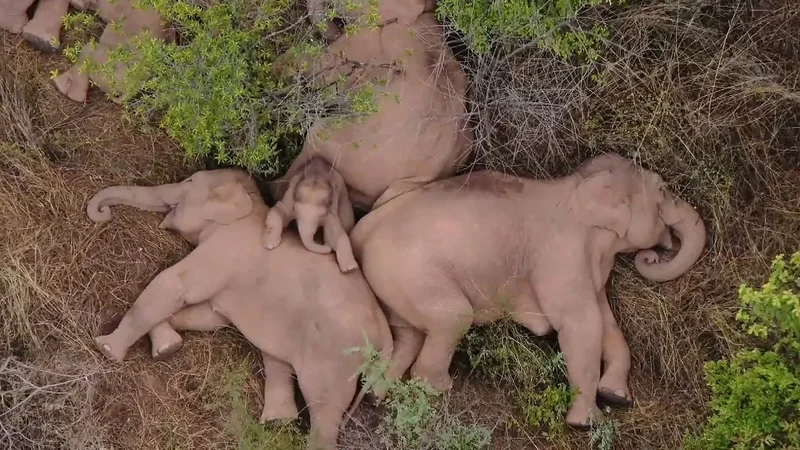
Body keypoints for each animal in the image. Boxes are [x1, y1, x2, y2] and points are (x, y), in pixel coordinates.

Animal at [84, 169, 394, 450]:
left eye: (189, 181)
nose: (104, 212)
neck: (251, 204)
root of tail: (385, 336)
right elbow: (209, 317)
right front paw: (167, 348)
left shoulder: (226, 248)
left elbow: (175, 285)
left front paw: (106, 348)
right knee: (277, 360)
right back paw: (276, 421)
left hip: (336, 357)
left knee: (323, 406)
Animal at [350, 154, 708, 428]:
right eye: (663, 190)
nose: (651, 256)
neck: (578, 186)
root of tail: (361, 230)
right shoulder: (560, 256)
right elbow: (580, 324)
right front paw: (586, 424)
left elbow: (605, 322)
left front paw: (616, 396)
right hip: (410, 272)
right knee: (452, 319)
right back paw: (438, 388)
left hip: (393, 282)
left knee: (407, 334)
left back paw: (376, 396)